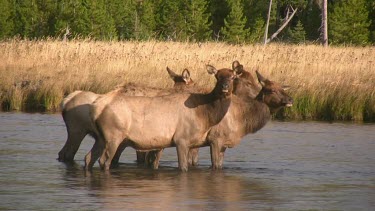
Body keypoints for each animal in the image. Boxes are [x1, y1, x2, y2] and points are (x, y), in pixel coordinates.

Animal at [86, 67, 236, 171]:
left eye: (232, 77)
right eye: (217, 77)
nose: (224, 88)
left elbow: (154, 163)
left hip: (104, 138)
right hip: (116, 138)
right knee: (107, 160)